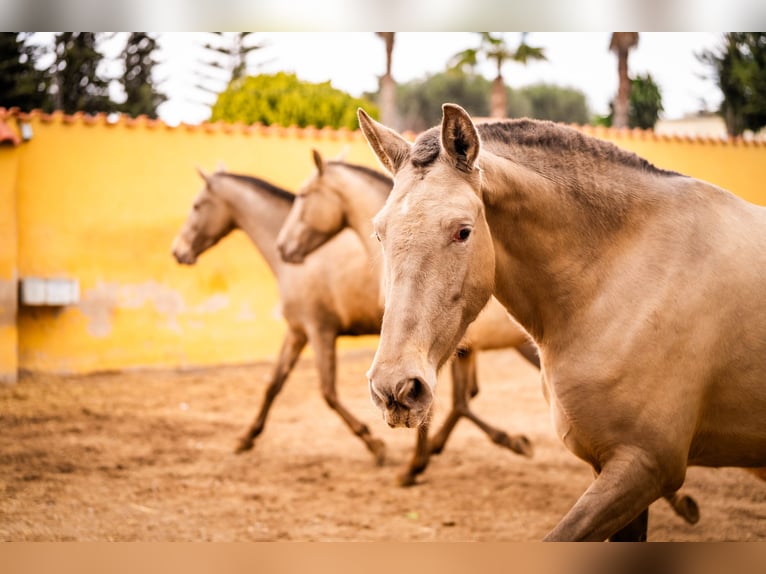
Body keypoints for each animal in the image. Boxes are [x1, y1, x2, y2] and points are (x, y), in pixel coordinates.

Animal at [360, 106, 766, 544]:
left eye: (463, 231)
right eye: (379, 233)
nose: (395, 388)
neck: (617, 278)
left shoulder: (644, 467)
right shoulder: (614, 470)